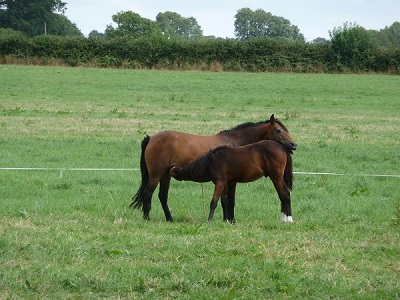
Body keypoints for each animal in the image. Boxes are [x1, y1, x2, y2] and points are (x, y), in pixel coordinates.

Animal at [130, 113, 296, 221]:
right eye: (278, 130)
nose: (294, 145)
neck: (234, 142)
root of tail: (151, 138)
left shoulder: (230, 181)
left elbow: (230, 201)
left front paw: (229, 220)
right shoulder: (225, 181)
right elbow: (225, 201)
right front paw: (226, 219)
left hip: (165, 175)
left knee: (162, 196)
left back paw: (169, 218)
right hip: (156, 174)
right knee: (147, 193)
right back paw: (147, 218)